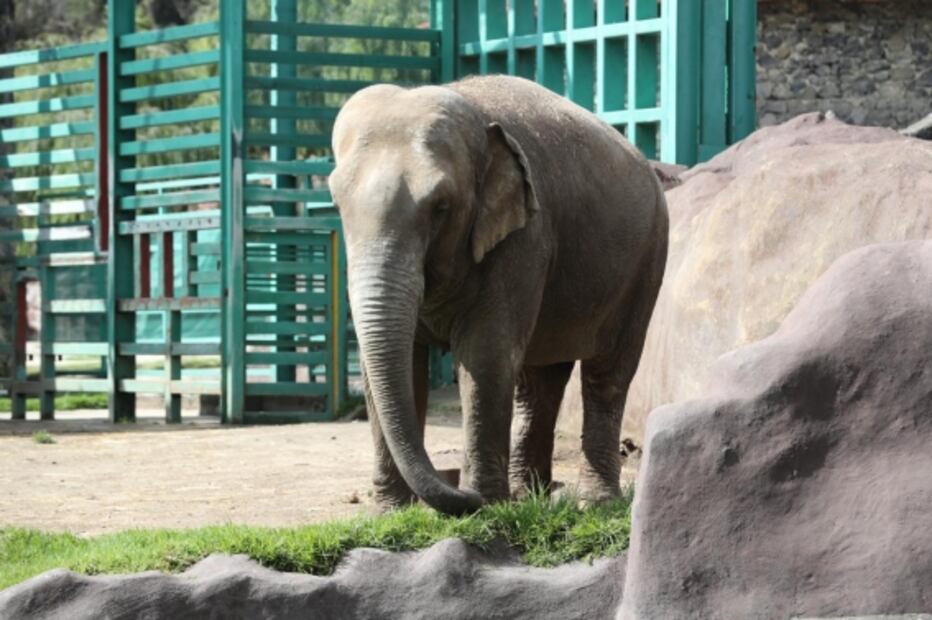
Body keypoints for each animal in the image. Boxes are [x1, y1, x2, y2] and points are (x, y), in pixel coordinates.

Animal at [330, 75, 668, 516]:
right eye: (336, 202)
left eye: (441, 207)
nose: (455, 483)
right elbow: (401, 366)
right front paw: (390, 514)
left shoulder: (522, 239)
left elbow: (485, 354)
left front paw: (484, 504)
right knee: (539, 380)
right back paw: (529, 495)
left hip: (646, 261)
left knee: (607, 373)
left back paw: (593, 503)